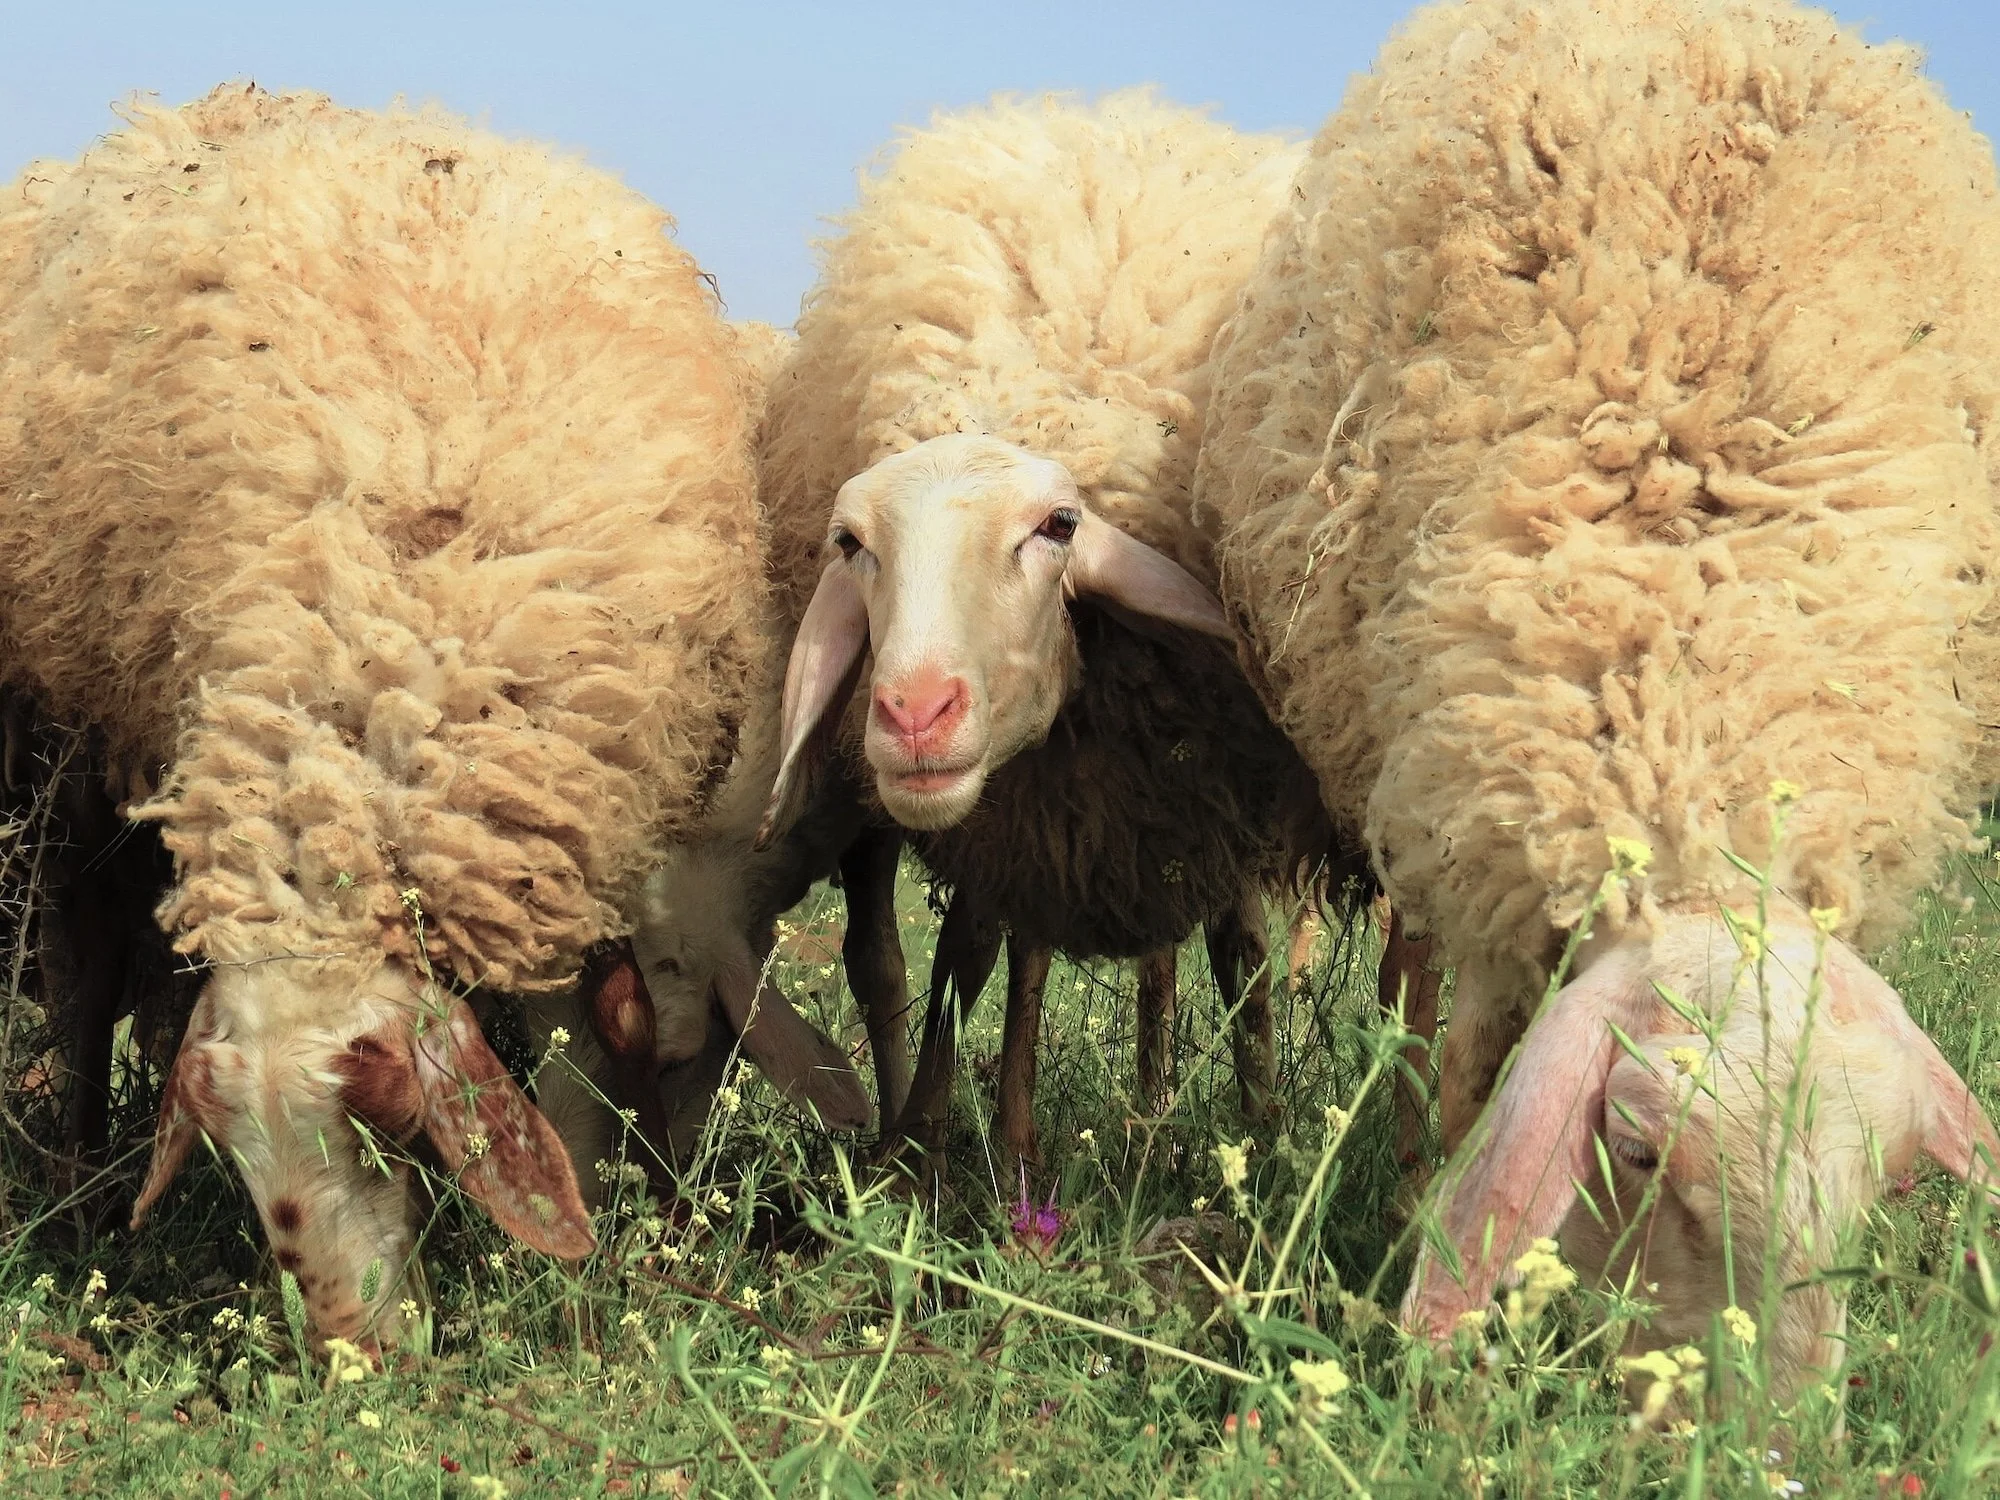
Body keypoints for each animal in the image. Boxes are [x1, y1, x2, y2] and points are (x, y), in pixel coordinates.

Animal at [0, 85, 774, 1348]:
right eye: (230, 1158)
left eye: (390, 1129)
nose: (356, 1354)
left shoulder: (558, 830)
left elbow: (597, 1030)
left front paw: (605, 1253)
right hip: (66, 761)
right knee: (81, 983)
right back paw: (76, 1192)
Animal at [756, 91, 1375, 1168]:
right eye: (851, 543)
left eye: (1056, 526)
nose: (913, 714)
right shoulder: (1018, 814)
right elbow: (973, 954)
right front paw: (938, 1147)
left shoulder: (1194, 784)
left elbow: (1241, 957)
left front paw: (1261, 1138)